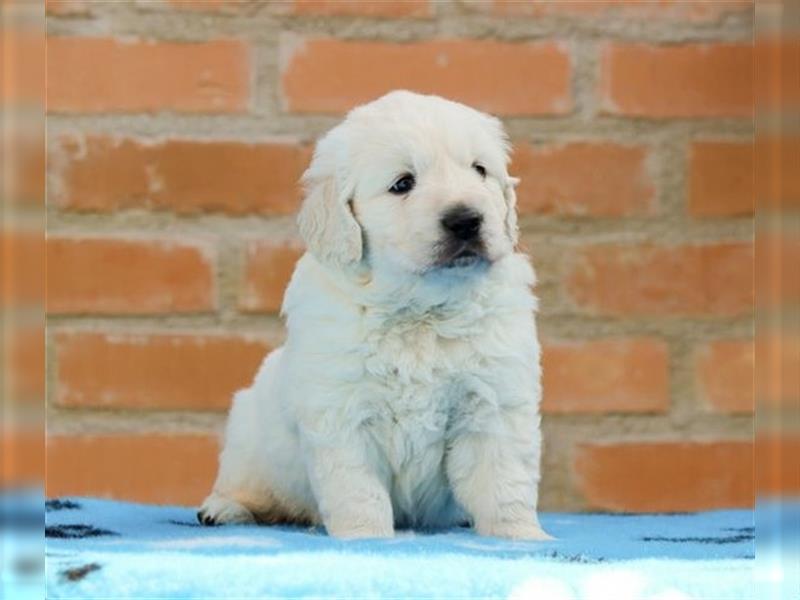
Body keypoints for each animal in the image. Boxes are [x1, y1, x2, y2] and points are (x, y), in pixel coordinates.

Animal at [200, 91, 552, 540]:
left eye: (480, 170)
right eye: (402, 184)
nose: (467, 220)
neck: (421, 311)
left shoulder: (495, 403)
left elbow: (505, 483)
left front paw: (521, 537)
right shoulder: (343, 413)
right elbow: (358, 490)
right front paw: (365, 538)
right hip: (248, 436)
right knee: (245, 484)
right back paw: (223, 508)